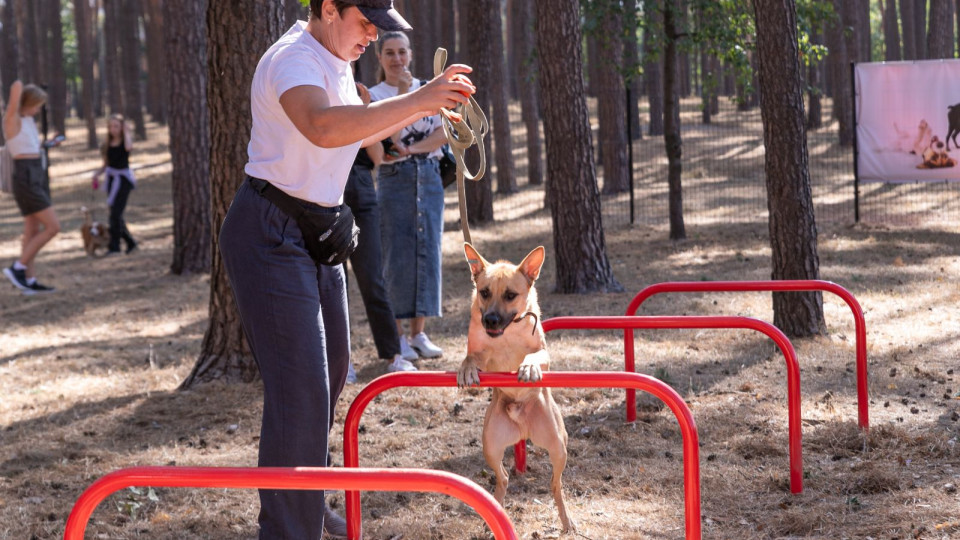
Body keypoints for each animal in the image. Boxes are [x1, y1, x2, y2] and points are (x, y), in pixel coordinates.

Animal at [454, 244, 572, 532]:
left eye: (510, 295)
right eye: (484, 292)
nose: (490, 320)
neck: (507, 333)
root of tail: (523, 427)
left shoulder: (543, 352)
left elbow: (534, 356)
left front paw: (528, 367)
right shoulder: (480, 353)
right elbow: (471, 357)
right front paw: (466, 369)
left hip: (558, 447)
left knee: (556, 484)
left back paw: (566, 521)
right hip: (490, 445)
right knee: (504, 477)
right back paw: (493, 513)